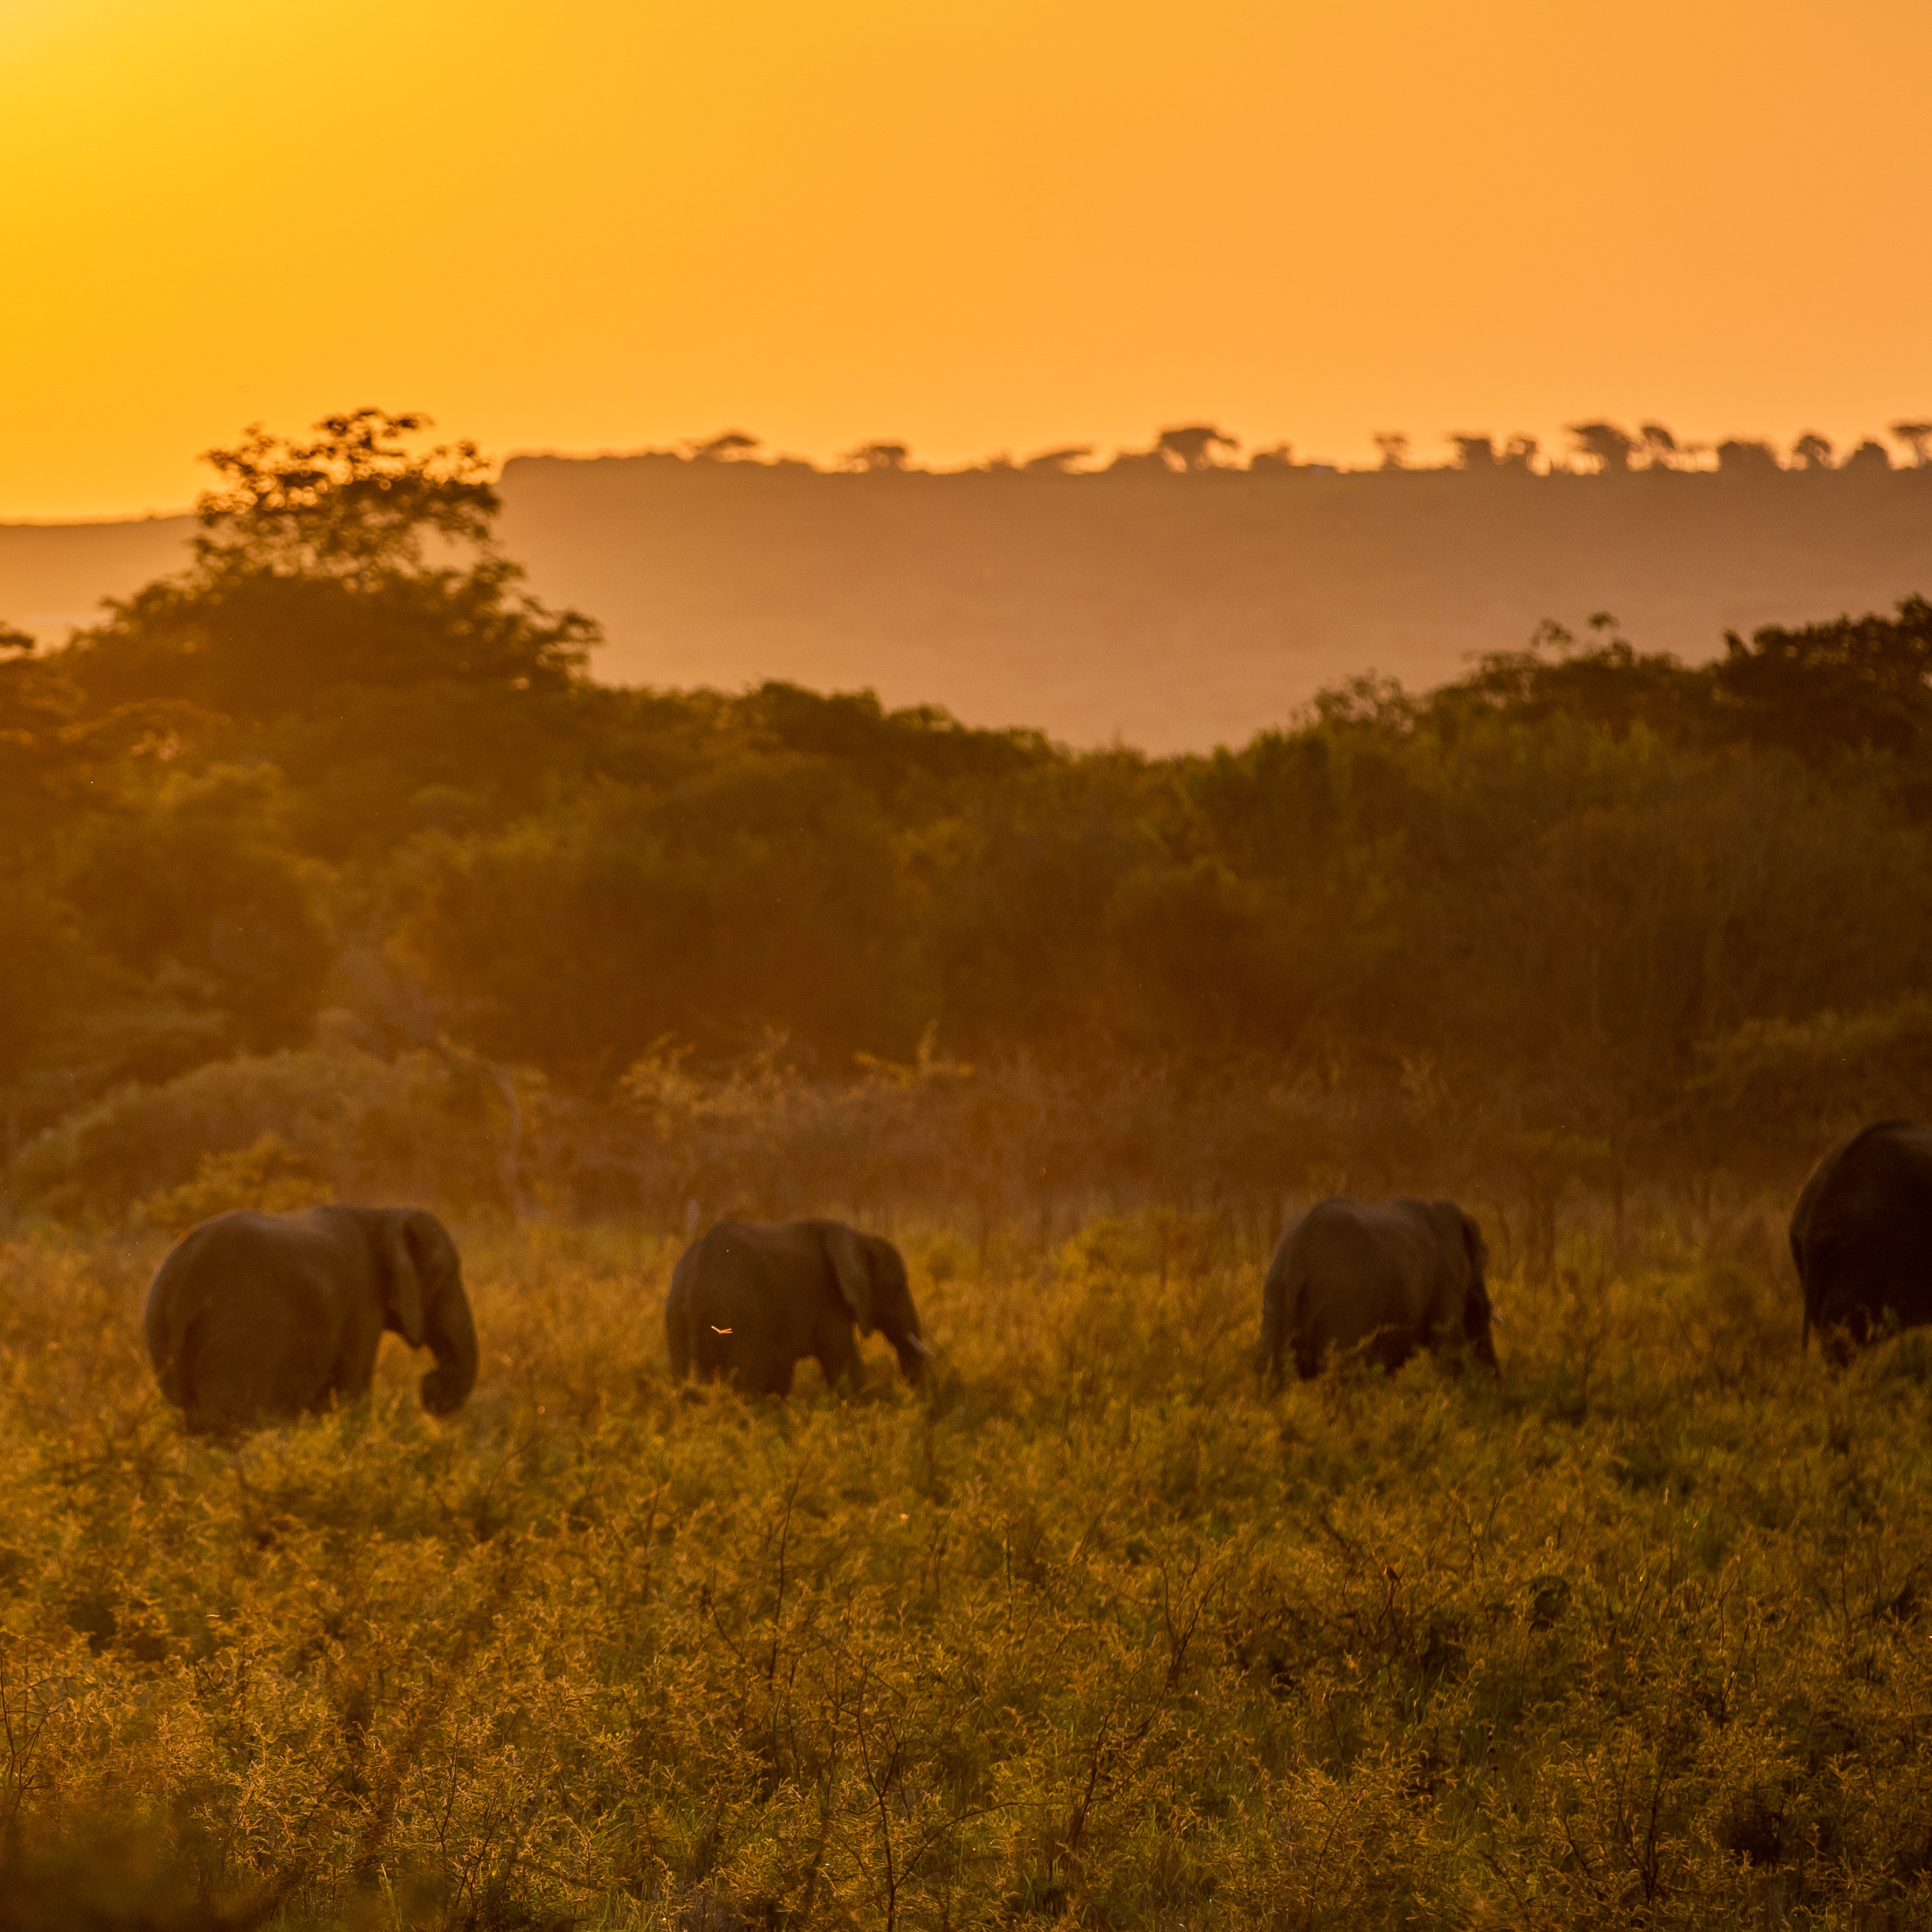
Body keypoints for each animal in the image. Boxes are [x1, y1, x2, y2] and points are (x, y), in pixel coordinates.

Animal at [144, 1205, 478, 1434]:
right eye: (447, 1276)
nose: (429, 1388)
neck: (381, 1216)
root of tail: (182, 1278)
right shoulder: (362, 1302)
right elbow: (348, 1391)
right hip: (234, 1333)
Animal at [666, 1218, 928, 1395]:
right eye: (897, 1287)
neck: (859, 1237)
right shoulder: (826, 1301)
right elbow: (845, 1366)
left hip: (677, 1317)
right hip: (736, 1316)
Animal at [1259, 1195, 1496, 1384]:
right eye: (1482, 1266)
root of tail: (1297, 1254)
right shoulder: (1445, 1280)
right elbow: (1449, 1348)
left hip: (1276, 1294)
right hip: (1346, 1303)